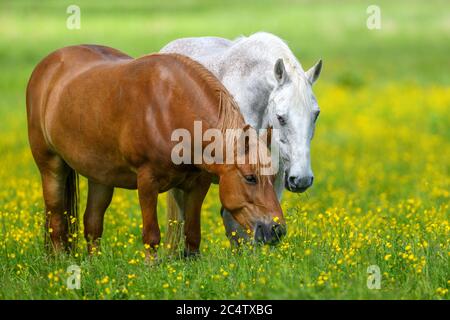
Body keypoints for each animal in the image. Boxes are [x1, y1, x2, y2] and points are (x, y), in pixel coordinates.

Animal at [25, 44, 284, 258]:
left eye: (273, 177)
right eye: (250, 178)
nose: (277, 229)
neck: (169, 109)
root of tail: (47, 66)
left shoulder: (196, 185)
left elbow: (192, 235)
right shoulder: (147, 182)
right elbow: (152, 235)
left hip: (100, 177)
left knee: (92, 223)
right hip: (51, 166)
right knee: (56, 220)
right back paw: (59, 262)